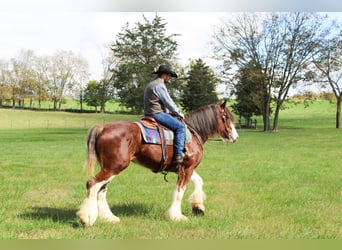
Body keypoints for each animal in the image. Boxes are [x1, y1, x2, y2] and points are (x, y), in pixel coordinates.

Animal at [77, 100, 238, 228]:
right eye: (226, 117)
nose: (235, 137)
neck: (193, 132)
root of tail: (103, 128)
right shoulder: (187, 168)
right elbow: (179, 192)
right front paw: (177, 216)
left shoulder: (184, 169)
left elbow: (199, 181)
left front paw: (198, 207)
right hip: (114, 167)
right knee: (92, 184)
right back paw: (87, 218)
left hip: (110, 167)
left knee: (102, 189)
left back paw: (109, 218)